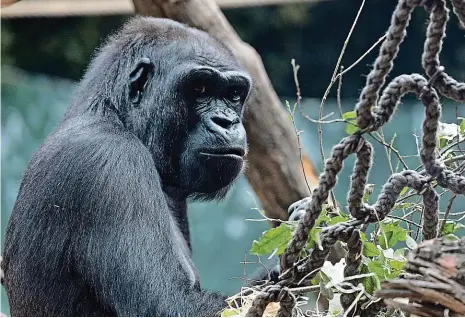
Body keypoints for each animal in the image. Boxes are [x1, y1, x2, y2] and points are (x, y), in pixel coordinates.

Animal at [1, 16, 260, 316]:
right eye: (199, 89)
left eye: (234, 94)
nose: (226, 121)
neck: (114, 114)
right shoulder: (111, 162)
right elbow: (172, 305)